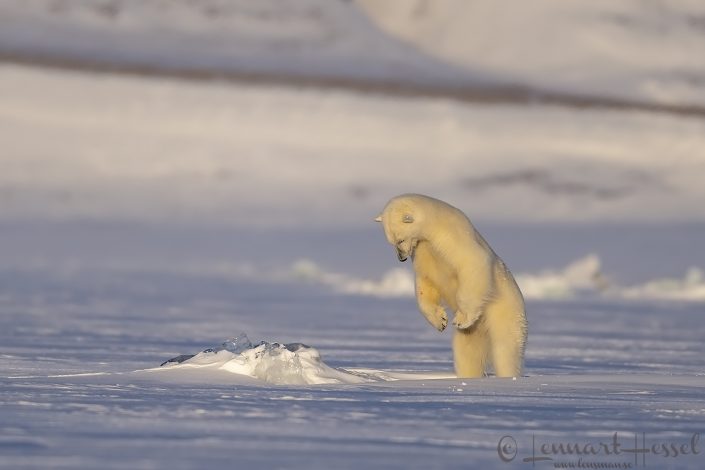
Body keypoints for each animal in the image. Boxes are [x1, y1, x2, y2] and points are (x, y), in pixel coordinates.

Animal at [375, 194, 527, 378]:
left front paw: (461, 319)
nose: (401, 258)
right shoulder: (423, 253)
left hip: (505, 312)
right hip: (470, 335)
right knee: (466, 355)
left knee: (505, 350)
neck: (434, 226)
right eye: (391, 242)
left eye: (400, 239)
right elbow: (425, 284)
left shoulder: (453, 237)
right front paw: (440, 320)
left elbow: (472, 263)